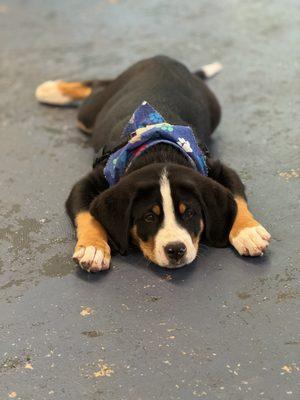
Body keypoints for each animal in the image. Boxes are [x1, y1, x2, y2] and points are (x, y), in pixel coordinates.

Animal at [36, 55, 270, 272]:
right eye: (149, 217)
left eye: (189, 213)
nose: (176, 250)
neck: (159, 150)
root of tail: (164, 58)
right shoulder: (87, 182)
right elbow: (87, 214)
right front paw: (93, 248)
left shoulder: (218, 169)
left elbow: (237, 198)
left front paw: (249, 231)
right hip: (90, 115)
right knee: (95, 87)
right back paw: (52, 90)